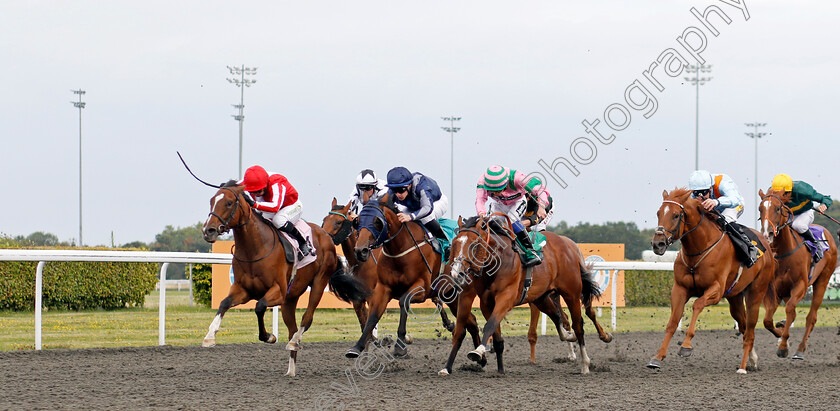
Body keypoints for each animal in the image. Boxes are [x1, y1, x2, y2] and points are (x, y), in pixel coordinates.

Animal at [202, 183, 370, 376]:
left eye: (229, 203)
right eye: (212, 201)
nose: (208, 230)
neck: (255, 248)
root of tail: (326, 237)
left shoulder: (278, 291)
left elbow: (259, 306)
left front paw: (269, 336)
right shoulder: (243, 290)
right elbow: (224, 303)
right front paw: (209, 337)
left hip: (318, 283)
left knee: (306, 319)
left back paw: (295, 342)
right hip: (290, 299)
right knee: (292, 328)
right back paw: (291, 370)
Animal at [442, 216, 600, 376]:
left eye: (474, 244)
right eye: (454, 243)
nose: (456, 272)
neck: (497, 260)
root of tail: (569, 245)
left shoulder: (505, 298)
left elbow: (490, 325)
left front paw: (478, 351)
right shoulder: (487, 303)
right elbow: (495, 333)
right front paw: (499, 369)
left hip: (571, 294)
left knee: (578, 326)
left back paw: (585, 364)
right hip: (541, 297)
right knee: (556, 315)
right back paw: (568, 335)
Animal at [648, 188, 776, 374]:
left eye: (676, 215)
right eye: (659, 213)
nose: (657, 244)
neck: (699, 249)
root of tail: (767, 246)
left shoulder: (715, 290)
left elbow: (697, 305)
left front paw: (686, 346)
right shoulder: (679, 289)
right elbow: (672, 322)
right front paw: (657, 357)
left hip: (756, 292)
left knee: (750, 329)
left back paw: (743, 367)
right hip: (734, 297)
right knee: (743, 326)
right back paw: (752, 359)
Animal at [756, 190, 836, 360]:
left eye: (778, 208)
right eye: (760, 209)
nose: (767, 233)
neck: (783, 253)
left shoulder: (801, 285)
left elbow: (791, 310)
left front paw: (783, 346)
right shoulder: (773, 289)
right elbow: (767, 320)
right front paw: (780, 333)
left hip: (823, 280)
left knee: (811, 317)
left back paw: (799, 350)